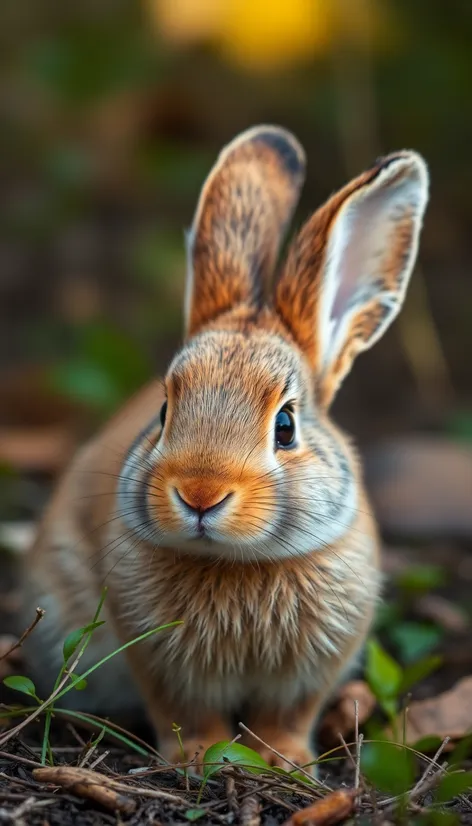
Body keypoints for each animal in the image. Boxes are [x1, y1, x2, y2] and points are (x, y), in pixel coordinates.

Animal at [21, 125, 428, 768]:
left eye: (285, 426)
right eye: (165, 411)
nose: (200, 494)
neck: (237, 562)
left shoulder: (310, 672)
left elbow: (286, 717)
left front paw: (286, 761)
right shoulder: (158, 660)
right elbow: (186, 714)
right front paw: (199, 757)